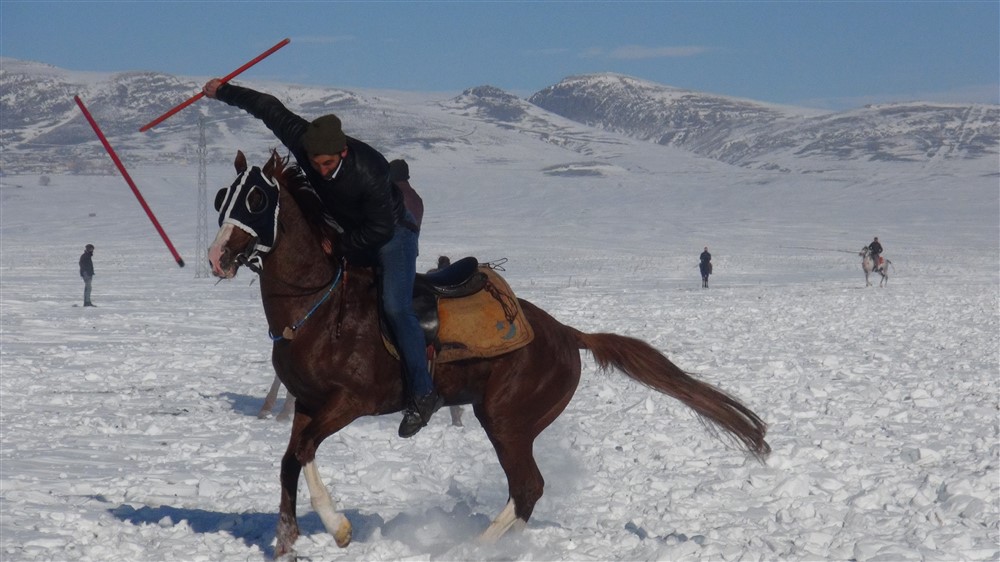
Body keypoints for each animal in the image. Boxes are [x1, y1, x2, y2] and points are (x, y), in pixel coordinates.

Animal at [209, 151, 772, 556]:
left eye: (256, 198)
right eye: (222, 197)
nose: (217, 256)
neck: (321, 307)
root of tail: (567, 333)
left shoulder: (350, 403)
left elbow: (303, 453)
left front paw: (339, 528)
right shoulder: (307, 403)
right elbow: (290, 459)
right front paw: (286, 541)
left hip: (505, 417)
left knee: (528, 487)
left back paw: (471, 548)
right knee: (525, 491)